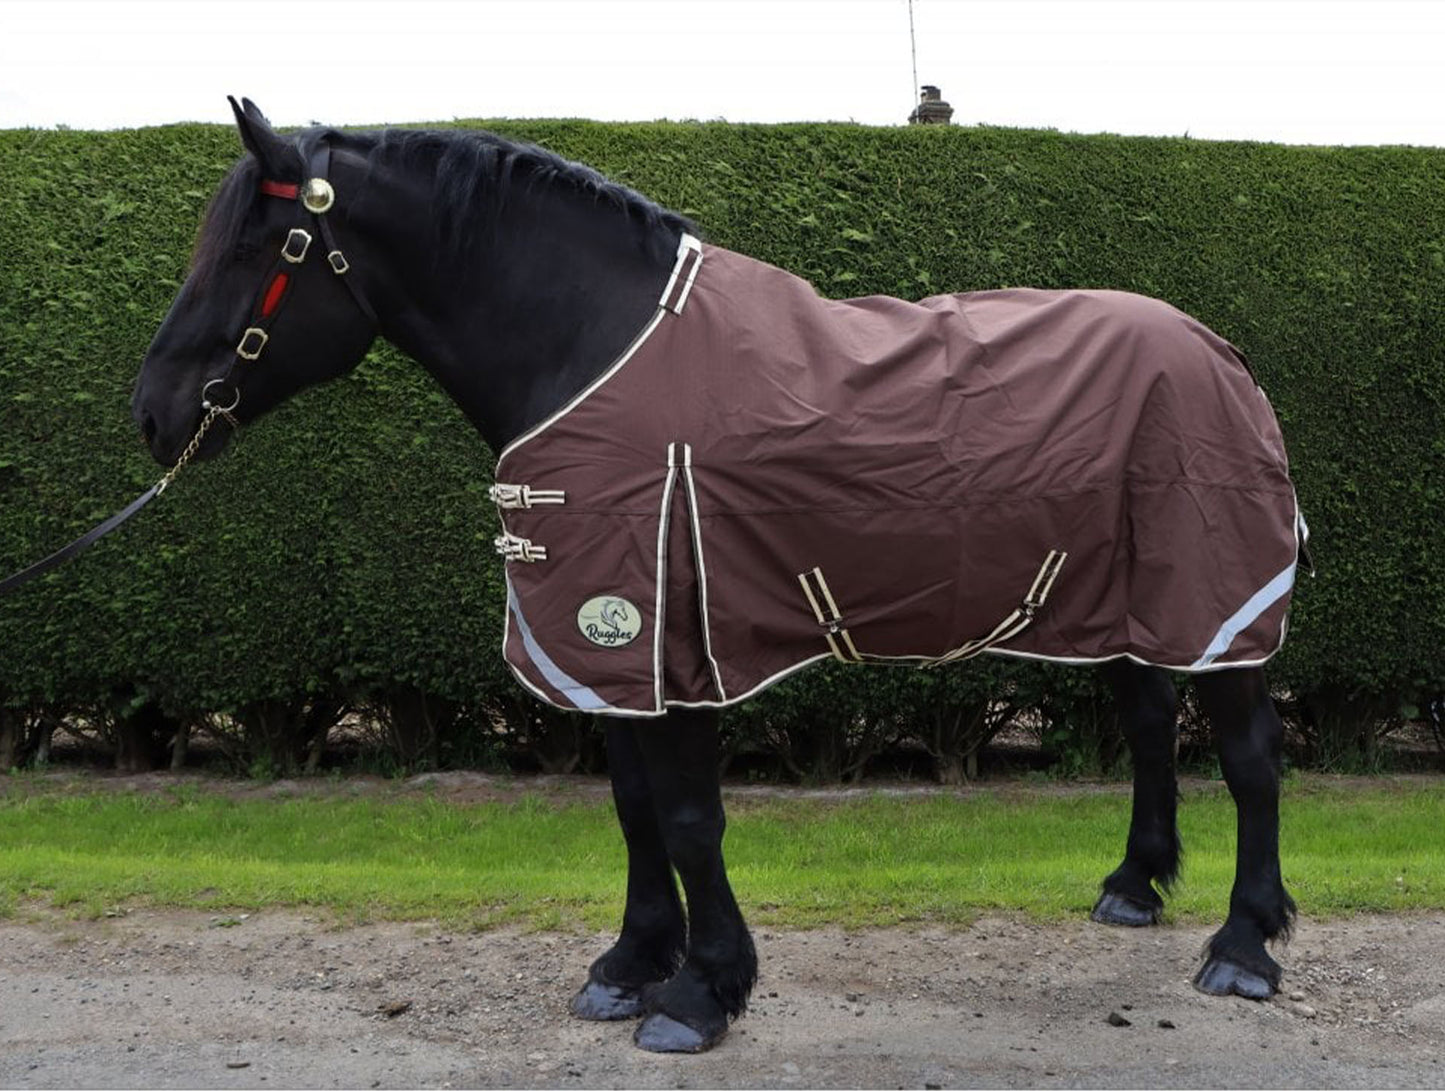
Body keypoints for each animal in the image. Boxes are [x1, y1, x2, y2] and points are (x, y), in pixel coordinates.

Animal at [131, 98, 1303, 1054]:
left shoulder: (666, 632)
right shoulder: (606, 642)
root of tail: (1218, 351)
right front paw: (630, 964)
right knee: (1149, 726)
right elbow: (634, 807)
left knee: (1249, 758)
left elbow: (691, 816)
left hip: (1214, 602)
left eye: (255, 244)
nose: (154, 413)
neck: (594, 345)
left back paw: (1242, 945)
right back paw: (1132, 888)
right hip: (1123, 605)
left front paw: (700, 992)